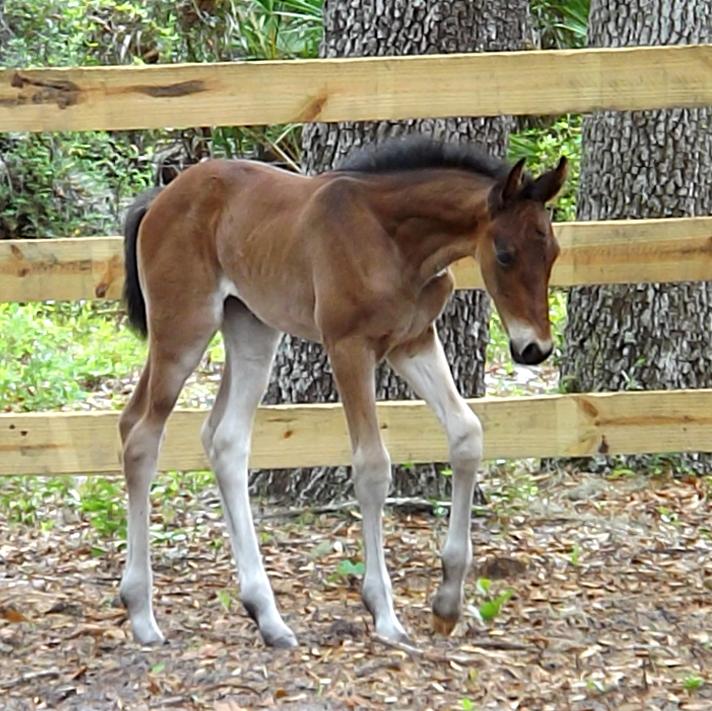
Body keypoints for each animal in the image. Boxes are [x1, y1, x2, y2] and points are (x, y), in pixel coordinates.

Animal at [118, 136, 568, 648]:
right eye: (505, 253)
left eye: (553, 251)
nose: (534, 349)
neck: (394, 240)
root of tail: (162, 197)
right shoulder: (348, 347)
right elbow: (372, 466)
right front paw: (384, 614)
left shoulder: (413, 342)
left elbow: (467, 434)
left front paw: (447, 602)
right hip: (184, 328)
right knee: (141, 435)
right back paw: (142, 614)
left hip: (251, 329)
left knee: (223, 439)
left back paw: (267, 616)